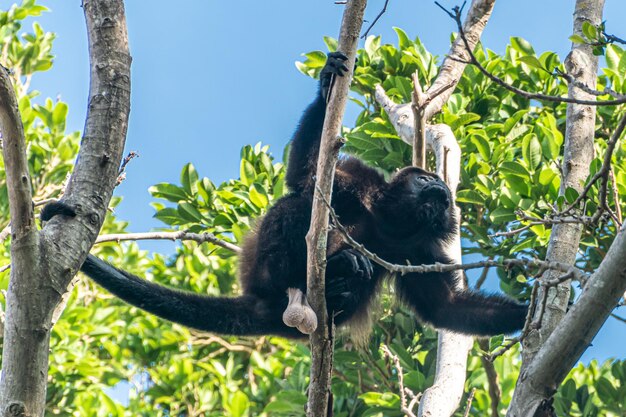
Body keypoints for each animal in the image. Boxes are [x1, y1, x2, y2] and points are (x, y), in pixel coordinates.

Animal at [41, 52, 524, 338]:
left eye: (439, 190)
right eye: (424, 180)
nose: (440, 188)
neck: (391, 220)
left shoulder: (421, 249)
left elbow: (445, 307)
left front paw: (527, 309)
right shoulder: (358, 178)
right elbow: (306, 180)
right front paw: (327, 85)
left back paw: (342, 286)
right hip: (266, 273)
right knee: (296, 209)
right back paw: (327, 269)